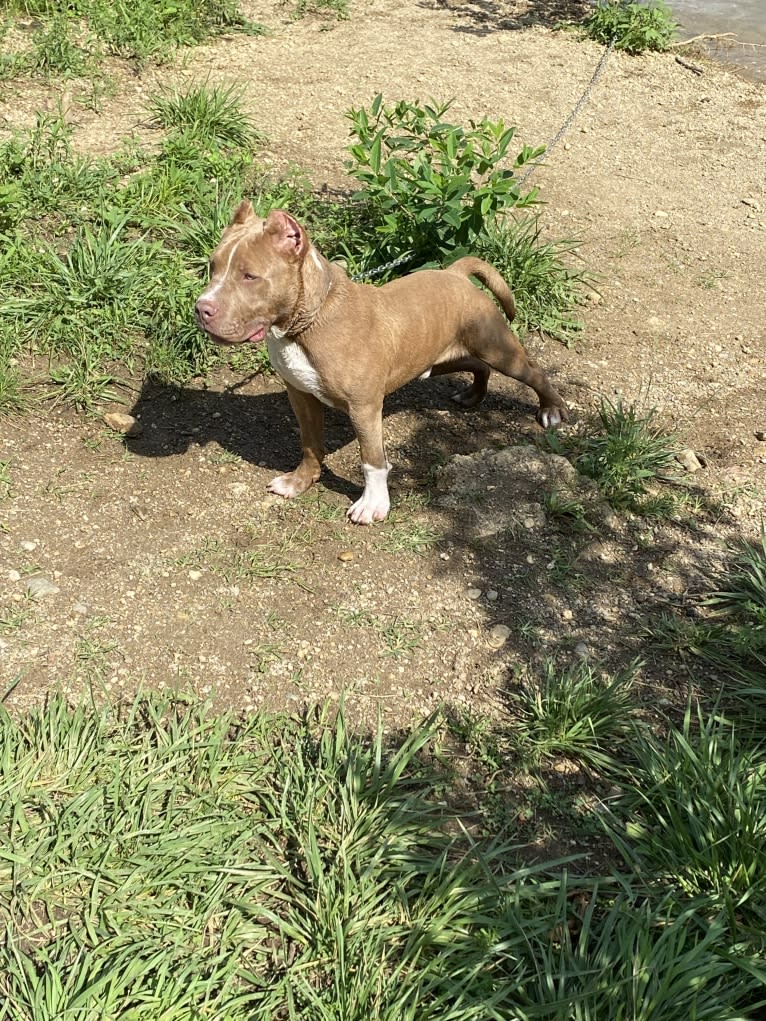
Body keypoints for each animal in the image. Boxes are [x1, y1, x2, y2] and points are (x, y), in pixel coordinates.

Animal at [196, 202, 571, 522]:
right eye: (213, 267)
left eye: (249, 276)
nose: (201, 308)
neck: (304, 326)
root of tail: (455, 273)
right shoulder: (300, 394)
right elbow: (310, 444)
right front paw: (300, 482)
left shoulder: (364, 407)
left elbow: (372, 461)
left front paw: (373, 505)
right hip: (437, 359)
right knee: (479, 367)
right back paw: (472, 395)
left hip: (496, 347)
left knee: (533, 373)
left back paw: (552, 409)